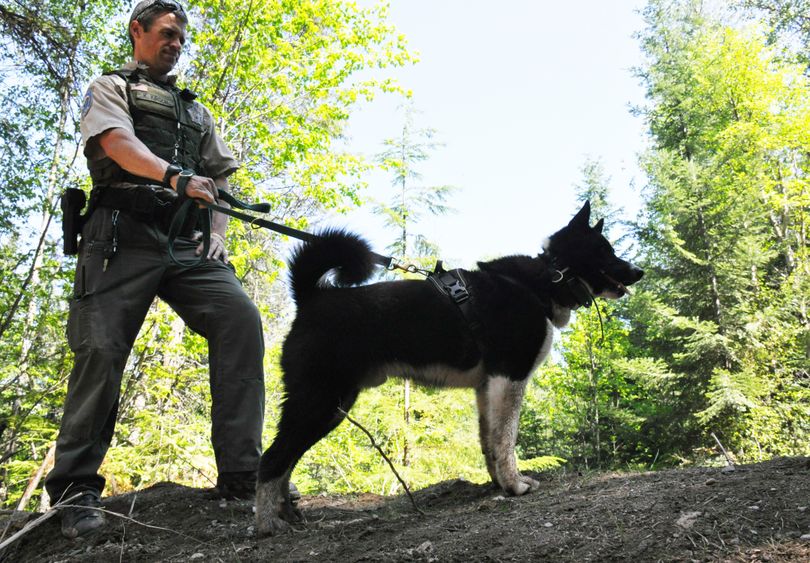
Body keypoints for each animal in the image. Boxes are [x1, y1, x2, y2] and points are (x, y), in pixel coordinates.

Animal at [256, 203, 640, 536]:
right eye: (605, 250)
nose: (640, 271)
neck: (548, 279)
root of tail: (311, 297)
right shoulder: (510, 378)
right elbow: (506, 439)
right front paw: (514, 485)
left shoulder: (487, 386)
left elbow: (490, 442)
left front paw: (499, 484)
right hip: (321, 401)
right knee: (273, 459)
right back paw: (266, 523)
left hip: (328, 406)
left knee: (285, 460)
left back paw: (286, 514)